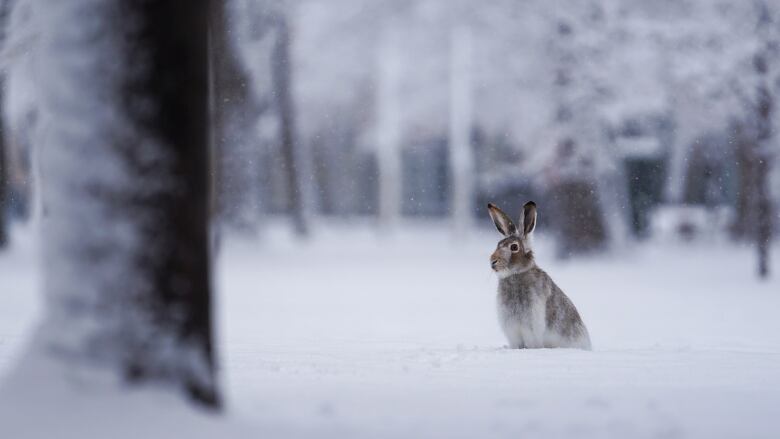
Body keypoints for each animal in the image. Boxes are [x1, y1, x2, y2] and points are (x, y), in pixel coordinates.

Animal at [488, 202, 592, 350]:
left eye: (514, 247)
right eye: (498, 245)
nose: (493, 261)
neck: (516, 274)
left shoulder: (531, 326)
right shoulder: (512, 329)